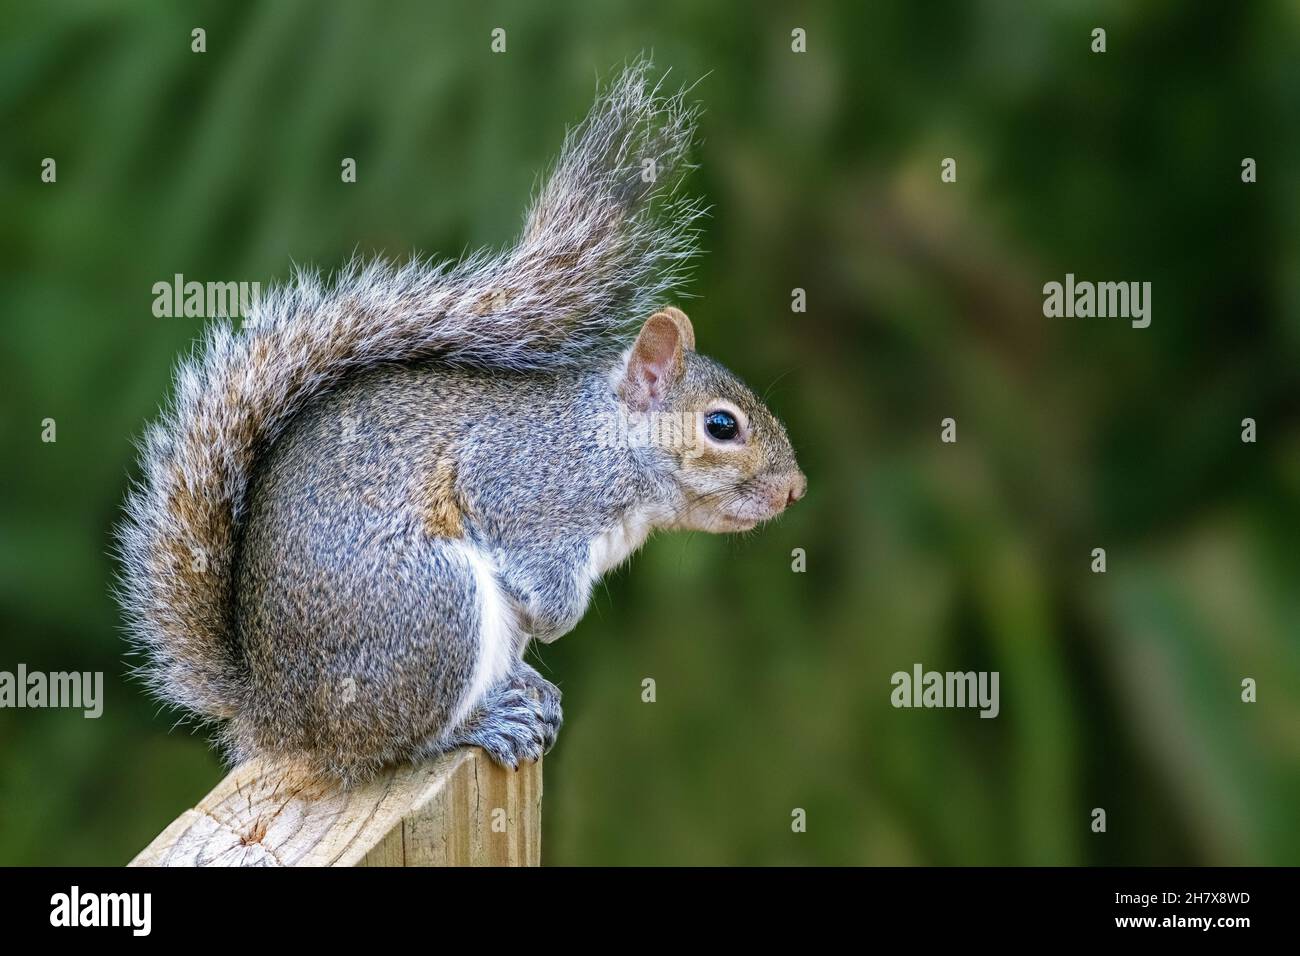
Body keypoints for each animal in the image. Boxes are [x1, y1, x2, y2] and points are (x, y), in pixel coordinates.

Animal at [115, 61, 806, 786]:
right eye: (722, 426)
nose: (796, 489)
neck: (610, 442)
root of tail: (282, 720)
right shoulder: (525, 480)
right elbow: (527, 549)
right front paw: (554, 620)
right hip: (432, 608)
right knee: (398, 744)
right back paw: (484, 722)